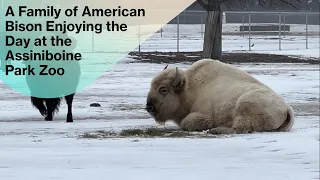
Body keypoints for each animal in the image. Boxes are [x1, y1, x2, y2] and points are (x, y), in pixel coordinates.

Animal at [145, 59, 296, 134]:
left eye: (163, 89)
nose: (149, 107)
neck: (190, 89)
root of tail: (287, 109)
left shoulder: (204, 116)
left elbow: (185, 123)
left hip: (244, 104)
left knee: (240, 129)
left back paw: (215, 130)